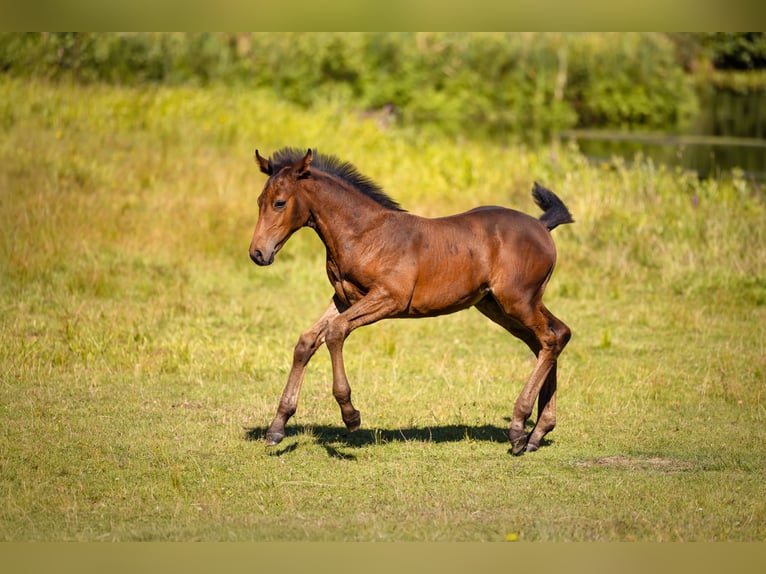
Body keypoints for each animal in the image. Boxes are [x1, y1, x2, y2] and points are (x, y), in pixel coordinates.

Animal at [249, 150, 572, 460]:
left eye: (279, 203)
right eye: (259, 202)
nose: (257, 253)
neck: (364, 234)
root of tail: (542, 226)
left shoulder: (388, 298)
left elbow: (336, 332)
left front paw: (350, 414)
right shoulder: (343, 299)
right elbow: (306, 341)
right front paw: (277, 427)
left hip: (517, 301)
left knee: (550, 338)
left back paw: (519, 428)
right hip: (499, 306)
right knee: (553, 337)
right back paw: (538, 433)